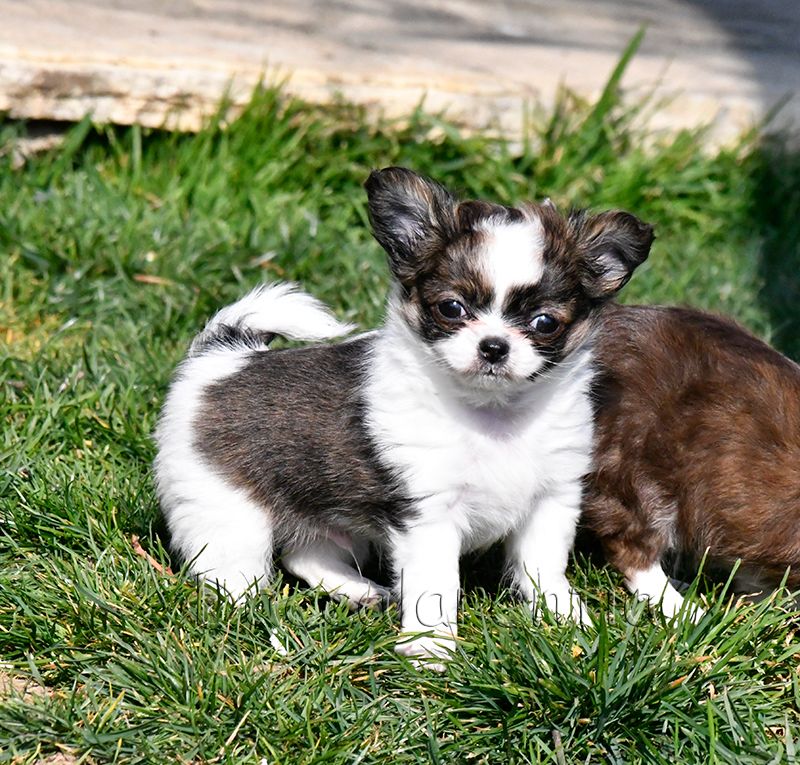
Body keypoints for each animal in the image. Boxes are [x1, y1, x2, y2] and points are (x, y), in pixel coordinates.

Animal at [154, 166, 653, 664]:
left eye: (545, 322)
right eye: (452, 308)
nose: (493, 346)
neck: (493, 414)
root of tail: (224, 356)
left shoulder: (552, 499)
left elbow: (543, 568)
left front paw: (568, 619)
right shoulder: (428, 515)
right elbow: (436, 585)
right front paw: (431, 651)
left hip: (332, 511)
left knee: (306, 554)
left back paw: (356, 591)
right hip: (229, 516)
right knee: (232, 574)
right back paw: (253, 618)